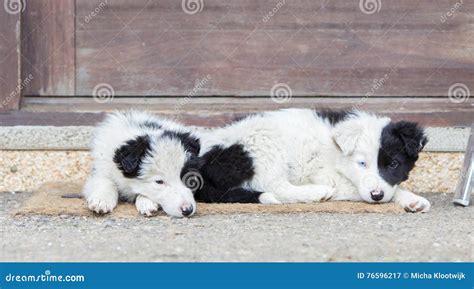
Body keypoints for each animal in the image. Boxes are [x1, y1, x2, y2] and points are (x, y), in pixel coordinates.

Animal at [191, 108, 432, 212]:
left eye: (393, 164)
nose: (376, 195)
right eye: (362, 164)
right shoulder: (325, 174)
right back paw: (318, 193)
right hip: (263, 145)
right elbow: (355, 187)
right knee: (276, 187)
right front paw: (410, 198)